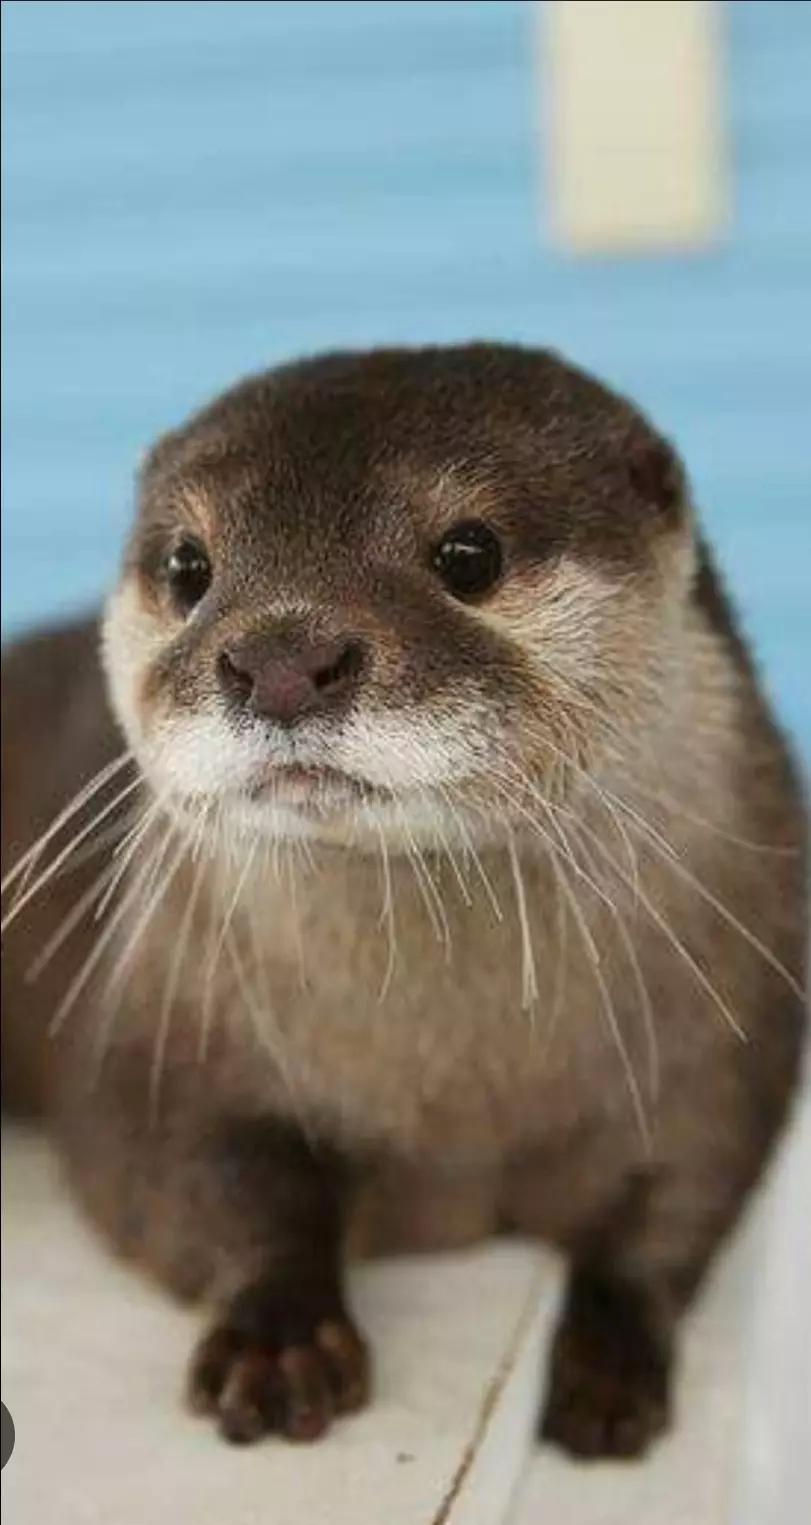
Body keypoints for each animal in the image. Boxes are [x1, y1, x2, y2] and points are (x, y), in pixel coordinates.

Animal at [1, 344, 807, 1459]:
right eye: (187, 567)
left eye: (469, 554)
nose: (281, 657)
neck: (453, 1093)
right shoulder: (151, 1031)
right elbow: (202, 1176)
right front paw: (279, 1337)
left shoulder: (729, 1039)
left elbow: (679, 1201)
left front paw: (608, 1364)